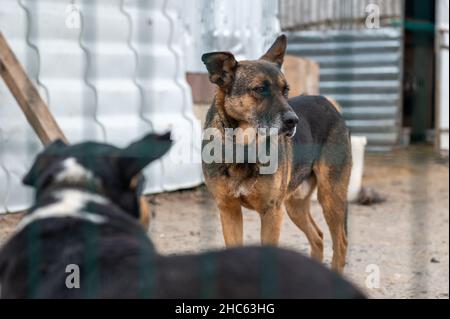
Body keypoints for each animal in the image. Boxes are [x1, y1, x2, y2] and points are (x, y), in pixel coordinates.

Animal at [201, 35, 352, 272]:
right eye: (258, 89)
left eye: (285, 90)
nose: (293, 121)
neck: (245, 147)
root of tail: (327, 102)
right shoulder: (229, 210)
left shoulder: (271, 213)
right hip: (294, 205)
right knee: (318, 237)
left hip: (330, 196)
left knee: (341, 242)